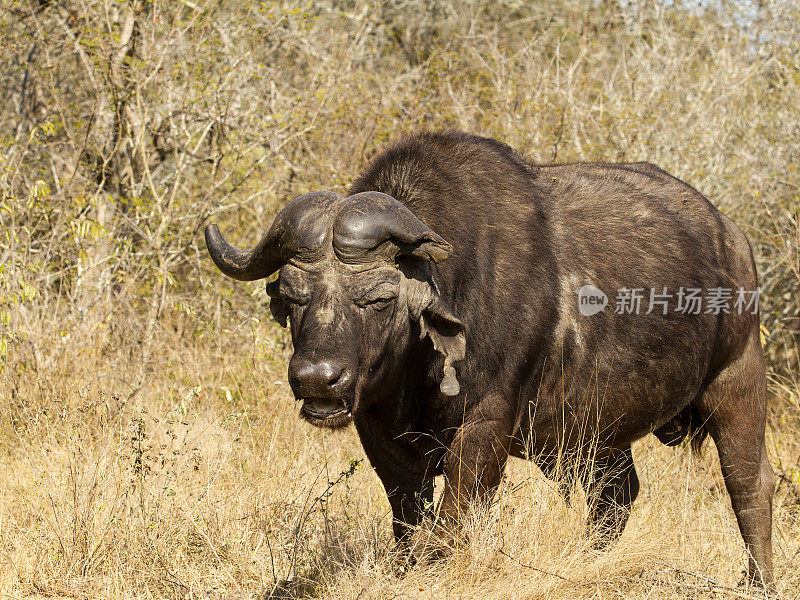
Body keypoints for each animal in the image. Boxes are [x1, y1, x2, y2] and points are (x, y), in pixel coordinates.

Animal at [206, 131, 776, 584]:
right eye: (292, 297)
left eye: (378, 297)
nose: (316, 379)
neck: (421, 367)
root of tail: (733, 238)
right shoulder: (380, 434)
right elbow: (409, 520)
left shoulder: (486, 427)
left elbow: (453, 519)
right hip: (593, 433)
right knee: (615, 494)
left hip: (738, 380)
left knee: (749, 485)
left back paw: (759, 579)